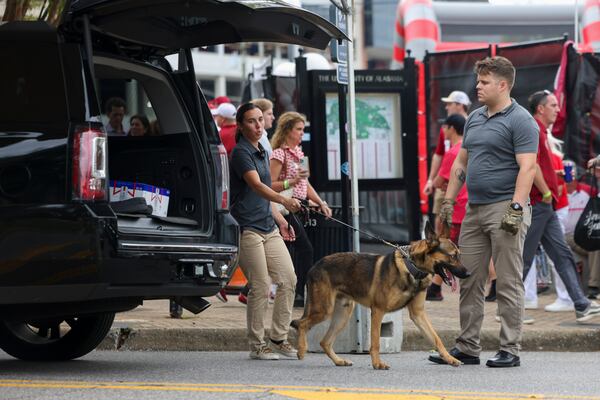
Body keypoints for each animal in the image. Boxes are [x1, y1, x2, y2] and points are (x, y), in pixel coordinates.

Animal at [290, 222, 468, 368]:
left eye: (459, 255)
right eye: (453, 256)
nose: (468, 273)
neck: (412, 267)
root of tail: (315, 265)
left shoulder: (418, 315)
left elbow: (436, 338)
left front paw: (449, 358)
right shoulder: (378, 311)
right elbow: (375, 342)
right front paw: (377, 363)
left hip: (343, 314)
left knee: (324, 342)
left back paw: (339, 361)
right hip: (323, 310)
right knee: (302, 324)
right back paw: (301, 350)